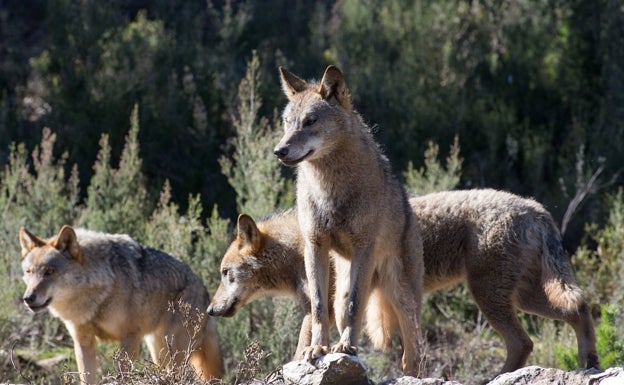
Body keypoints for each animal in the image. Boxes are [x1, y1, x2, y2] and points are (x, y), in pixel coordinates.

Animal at [19, 224, 223, 382]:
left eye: (49, 272)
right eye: (29, 272)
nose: (28, 298)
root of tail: (204, 290)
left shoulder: (130, 337)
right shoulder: (83, 341)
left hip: (174, 354)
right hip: (159, 352)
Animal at [208, 189, 600, 376]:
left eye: (226, 274)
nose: (210, 310)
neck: (298, 247)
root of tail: (537, 209)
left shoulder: (323, 309)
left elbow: (302, 348)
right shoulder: (320, 310)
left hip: (492, 298)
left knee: (524, 342)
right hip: (525, 298)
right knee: (579, 310)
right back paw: (589, 362)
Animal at [270, 65, 422, 376]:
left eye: (310, 121)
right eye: (287, 122)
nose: (279, 151)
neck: (330, 189)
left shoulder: (364, 247)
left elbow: (356, 305)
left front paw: (347, 347)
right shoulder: (314, 247)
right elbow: (318, 306)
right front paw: (317, 348)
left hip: (402, 299)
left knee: (411, 355)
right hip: (343, 293)